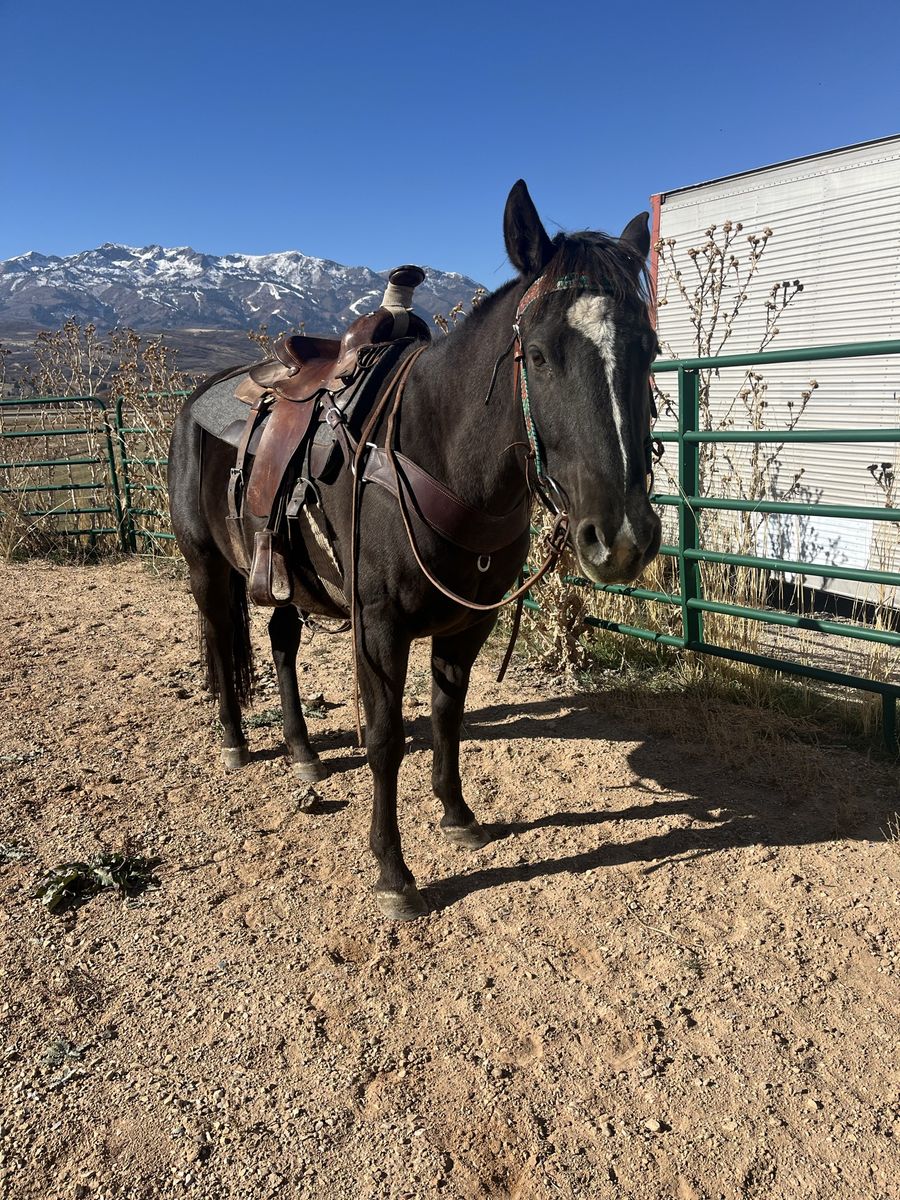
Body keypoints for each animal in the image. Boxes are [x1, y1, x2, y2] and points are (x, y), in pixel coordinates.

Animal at [167, 180, 662, 920]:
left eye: (650, 348)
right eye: (541, 353)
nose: (623, 537)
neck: (438, 455)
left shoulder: (470, 622)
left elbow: (447, 715)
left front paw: (457, 815)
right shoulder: (379, 627)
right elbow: (385, 738)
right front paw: (393, 870)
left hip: (282, 574)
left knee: (281, 642)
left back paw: (303, 752)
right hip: (206, 566)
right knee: (219, 636)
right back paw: (233, 741)